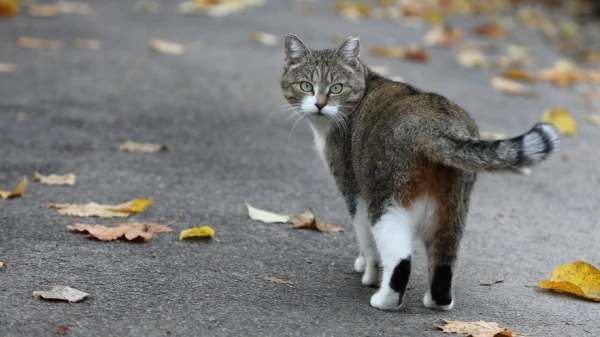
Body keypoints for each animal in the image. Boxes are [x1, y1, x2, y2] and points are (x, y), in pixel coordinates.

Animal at [278, 34, 560, 310]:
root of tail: (434, 124)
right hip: (453, 208)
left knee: (401, 258)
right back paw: (438, 301)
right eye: (306, 86)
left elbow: (367, 241)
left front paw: (369, 273)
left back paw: (385, 300)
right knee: (444, 261)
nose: (319, 104)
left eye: (336, 87)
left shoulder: (354, 190)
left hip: (385, 199)